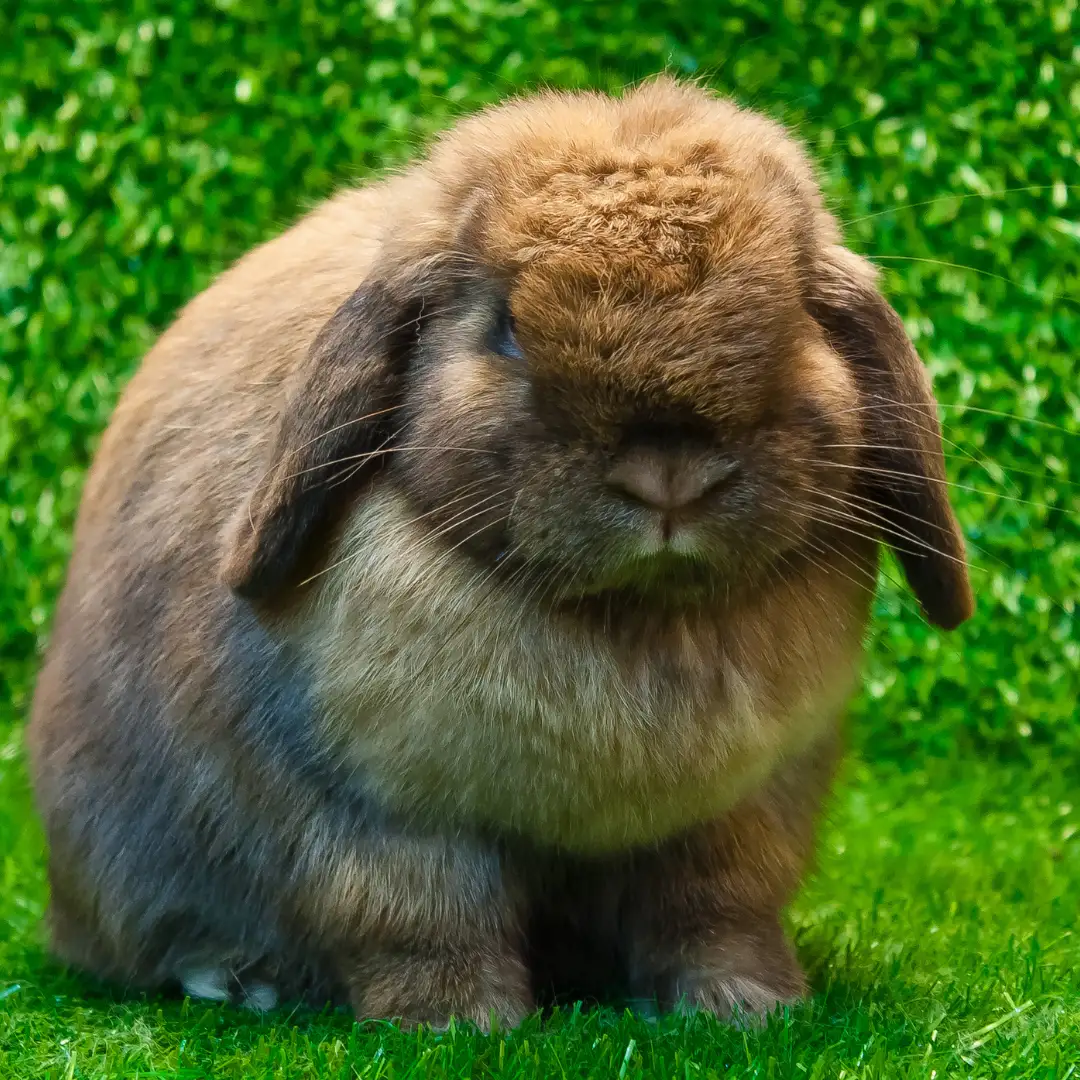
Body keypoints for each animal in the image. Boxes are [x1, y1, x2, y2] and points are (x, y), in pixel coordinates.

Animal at [25, 78, 976, 1028]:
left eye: (796, 318)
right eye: (507, 329)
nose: (668, 477)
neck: (632, 618)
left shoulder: (732, 820)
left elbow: (716, 912)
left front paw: (749, 1008)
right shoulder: (388, 818)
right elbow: (424, 918)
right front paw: (458, 1024)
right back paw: (232, 978)